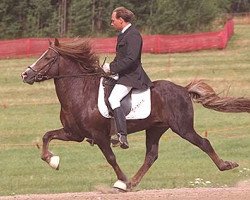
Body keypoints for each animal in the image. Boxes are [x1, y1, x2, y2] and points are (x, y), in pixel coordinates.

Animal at [21, 38, 250, 191]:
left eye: (48, 57)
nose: (25, 74)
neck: (80, 92)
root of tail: (183, 89)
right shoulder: (73, 133)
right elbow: (47, 136)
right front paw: (52, 160)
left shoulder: (100, 136)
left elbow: (111, 158)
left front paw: (121, 179)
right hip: (156, 128)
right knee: (151, 155)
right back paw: (133, 182)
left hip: (182, 127)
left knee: (204, 143)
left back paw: (226, 165)